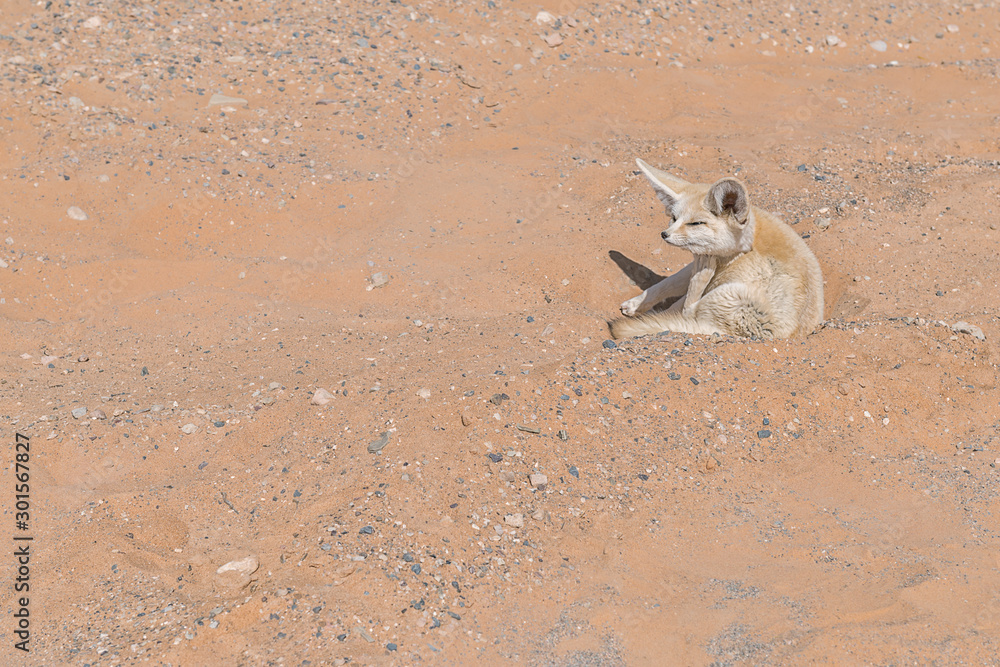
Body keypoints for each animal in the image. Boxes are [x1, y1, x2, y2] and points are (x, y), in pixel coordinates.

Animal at [609, 159, 823, 340]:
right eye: (674, 218)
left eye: (695, 223)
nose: (664, 234)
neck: (746, 245)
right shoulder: (704, 258)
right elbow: (669, 282)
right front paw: (636, 304)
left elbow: (681, 298)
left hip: (729, 294)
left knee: (689, 311)